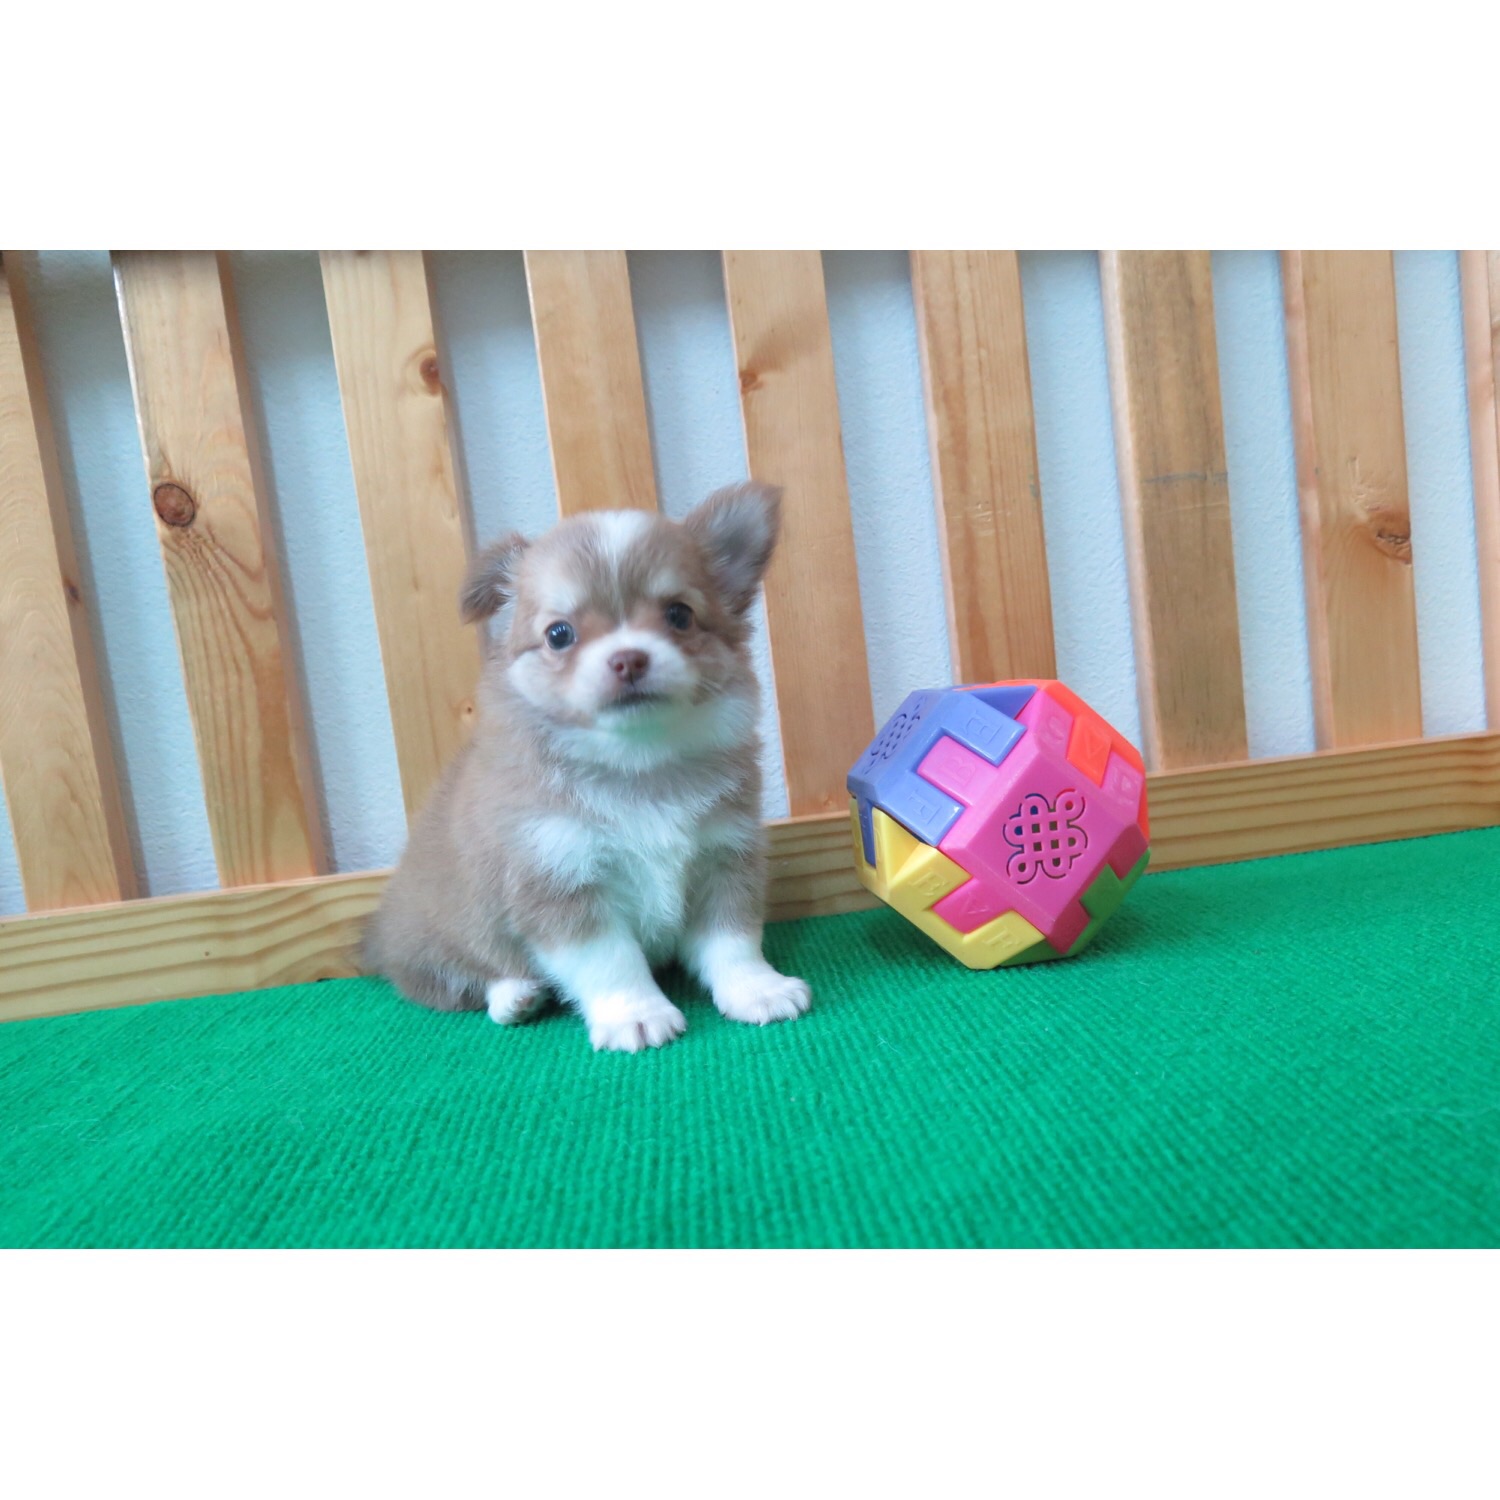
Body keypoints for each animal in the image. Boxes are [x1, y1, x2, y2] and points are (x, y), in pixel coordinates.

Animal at [364, 481, 811, 1052]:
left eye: (679, 615)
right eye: (559, 634)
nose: (629, 658)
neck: (639, 768)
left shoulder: (723, 859)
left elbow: (733, 942)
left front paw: (757, 990)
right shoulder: (559, 879)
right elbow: (611, 961)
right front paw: (637, 1015)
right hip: (439, 940)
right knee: (461, 979)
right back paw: (516, 996)